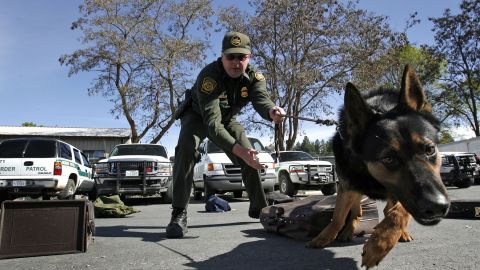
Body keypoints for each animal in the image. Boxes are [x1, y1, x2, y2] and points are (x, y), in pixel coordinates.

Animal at [308, 65, 450, 268]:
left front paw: (379, 243)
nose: (437, 206)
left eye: (430, 149)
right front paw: (324, 237)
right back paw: (348, 231)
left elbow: (397, 213)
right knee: (356, 212)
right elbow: (338, 216)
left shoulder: (400, 194)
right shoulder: (347, 186)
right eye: (388, 159)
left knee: (385, 211)